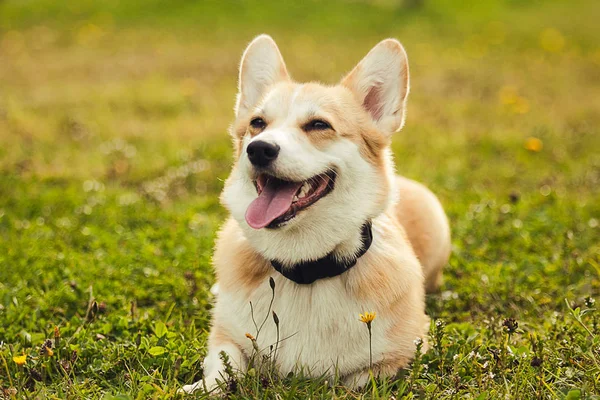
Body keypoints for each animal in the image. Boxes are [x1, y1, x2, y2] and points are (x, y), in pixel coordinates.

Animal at [183, 35, 450, 394]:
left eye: (319, 125)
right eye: (257, 124)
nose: (259, 149)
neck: (305, 267)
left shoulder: (401, 354)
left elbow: (356, 380)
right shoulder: (224, 336)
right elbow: (225, 366)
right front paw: (199, 388)